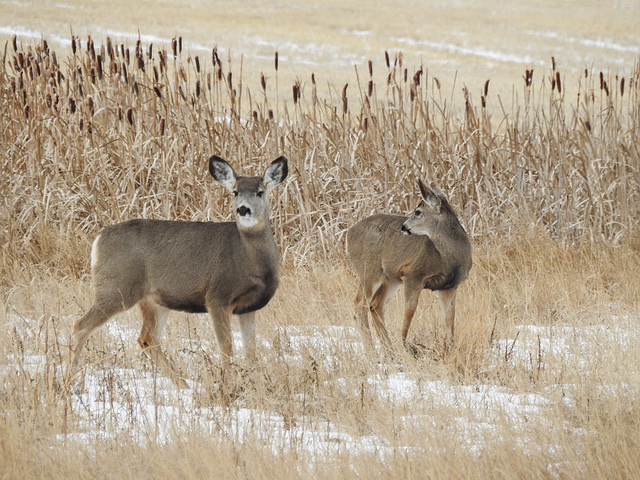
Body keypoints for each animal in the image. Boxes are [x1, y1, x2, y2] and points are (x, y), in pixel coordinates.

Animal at [70, 156, 288, 388]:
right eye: (235, 192)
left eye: (260, 192)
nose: (243, 209)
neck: (249, 261)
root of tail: (98, 238)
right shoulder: (217, 296)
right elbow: (226, 346)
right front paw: (227, 386)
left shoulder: (248, 307)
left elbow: (251, 352)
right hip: (116, 287)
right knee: (80, 326)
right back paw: (69, 379)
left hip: (154, 300)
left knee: (147, 338)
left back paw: (183, 385)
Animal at [348, 179, 472, 352]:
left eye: (418, 211)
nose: (404, 226)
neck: (448, 259)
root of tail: (348, 234)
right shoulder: (413, 275)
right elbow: (410, 310)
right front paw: (406, 346)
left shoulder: (449, 286)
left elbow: (449, 318)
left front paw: (450, 348)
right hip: (368, 272)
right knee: (360, 306)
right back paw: (372, 352)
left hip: (390, 279)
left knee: (375, 306)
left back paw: (389, 350)